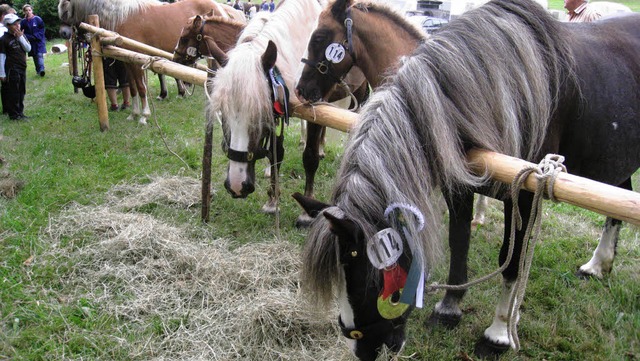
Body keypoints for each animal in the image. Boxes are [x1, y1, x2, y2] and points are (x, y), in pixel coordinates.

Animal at [209, 0, 368, 221]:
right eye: (223, 111)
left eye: (260, 114)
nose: (236, 185)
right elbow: (276, 154)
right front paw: (272, 202)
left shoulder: (313, 111)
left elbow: (309, 157)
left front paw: (306, 211)